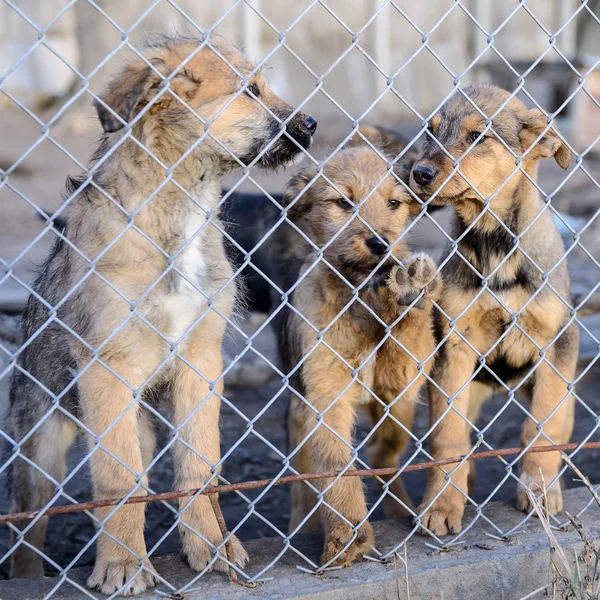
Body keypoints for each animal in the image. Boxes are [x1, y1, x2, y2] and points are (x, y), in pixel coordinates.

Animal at [7, 34, 316, 596]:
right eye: (250, 91)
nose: (312, 124)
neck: (180, 206)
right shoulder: (108, 369)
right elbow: (116, 479)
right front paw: (124, 564)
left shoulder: (202, 360)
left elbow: (200, 465)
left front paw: (211, 546)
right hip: (40, 449)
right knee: (30, 530)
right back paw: (31, 575)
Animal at [280, 142, 440, 568]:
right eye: (343, 202)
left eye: (394, 203)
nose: (380, 245)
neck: (361, 296)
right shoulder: (325, 397)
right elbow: (335, 464)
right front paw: (346, 534)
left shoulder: (403, 377)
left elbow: (408, 333)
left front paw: (409, 291)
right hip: (299, 413)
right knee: (302, 482)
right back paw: (300, 524)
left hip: (397, 411)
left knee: (385, 453)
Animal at [410, 83, 580, 536]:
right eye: (431, 131)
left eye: (476, 137)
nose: (418, 173)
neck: (495, 245)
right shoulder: (452, 346)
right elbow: (448, 437)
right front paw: (442, 504)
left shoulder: (557, 344)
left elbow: (541, 426)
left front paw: (539, 491)